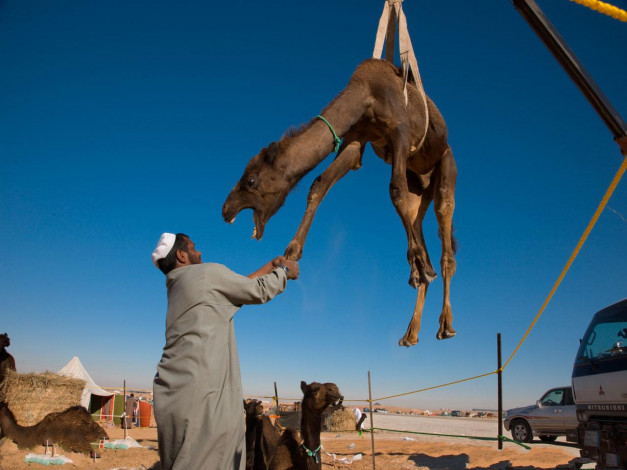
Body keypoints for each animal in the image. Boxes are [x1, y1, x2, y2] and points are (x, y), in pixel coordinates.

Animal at [223, 57, 458, 346]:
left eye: (251, 181)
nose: (226, 208)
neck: (366, 93)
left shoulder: (400, 132)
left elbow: (395, 190)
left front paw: (415, 268)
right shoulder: (357, 137)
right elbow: (320, 183)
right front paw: (292, 253)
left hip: (445, 162)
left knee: (445, 224)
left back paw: (445, 325)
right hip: (419, 185)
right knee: (417, 221)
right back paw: (411, 331)